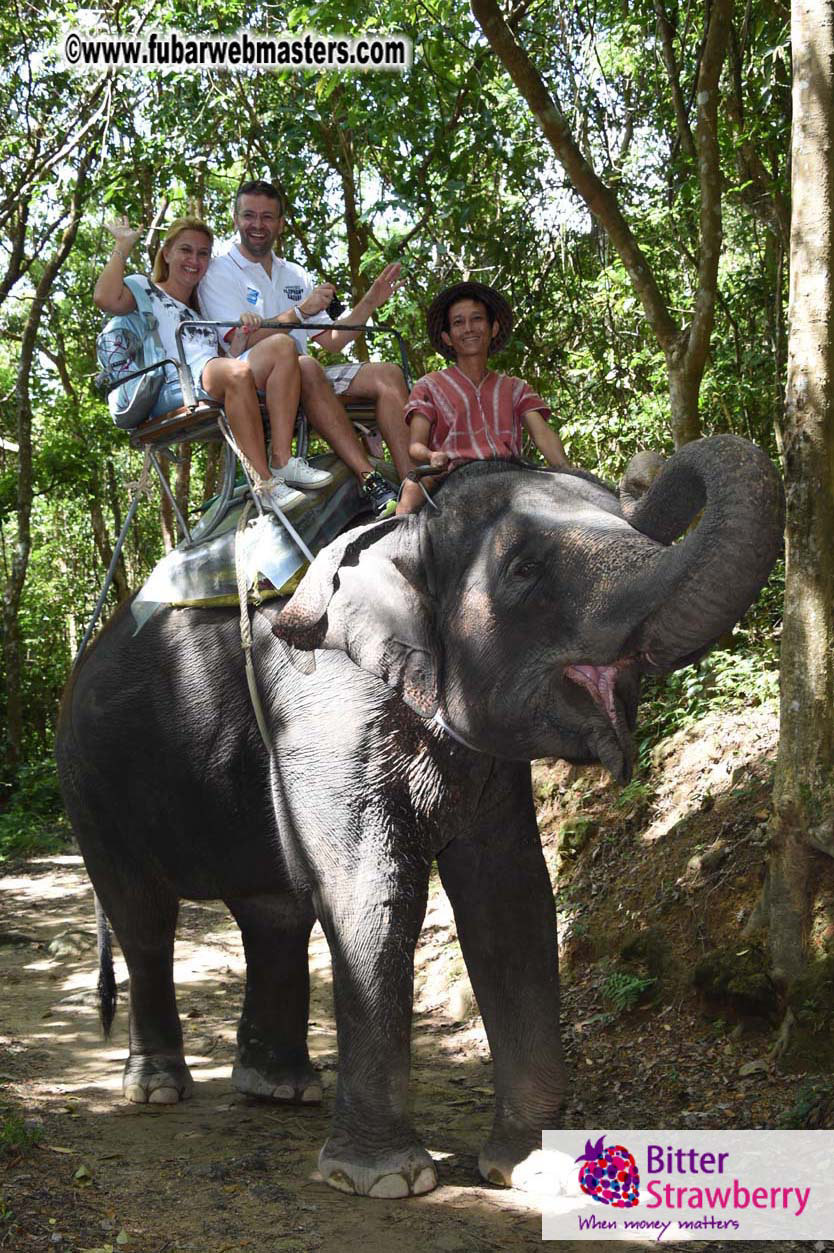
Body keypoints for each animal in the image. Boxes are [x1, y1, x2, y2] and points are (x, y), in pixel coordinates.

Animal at [56, 434, 783, 1199]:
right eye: (524, 569)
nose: (644, 474)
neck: (406, 530)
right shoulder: (322, 708)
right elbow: (373, 895)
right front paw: (387, 1180)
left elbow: (512, 898)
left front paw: (533, 1170)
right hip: (89, 782)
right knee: (143, 915)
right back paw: (158, 1089)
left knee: (273, 913)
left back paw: (280, 1089)